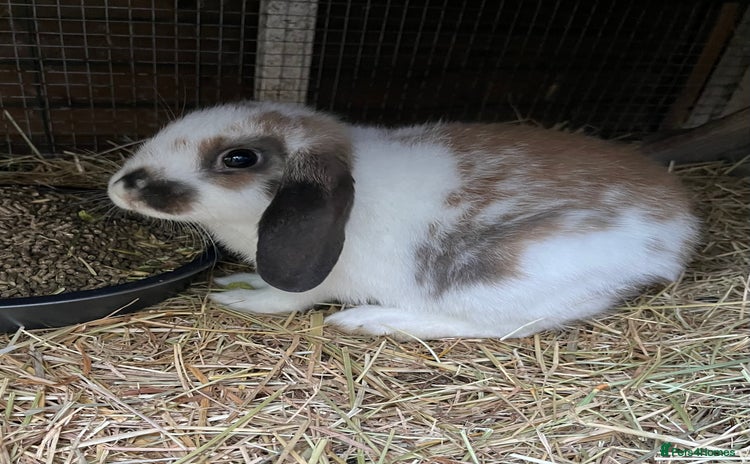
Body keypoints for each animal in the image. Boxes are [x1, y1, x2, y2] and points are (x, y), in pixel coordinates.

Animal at [108, 101, 700, 339]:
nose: (120, 186)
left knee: (494, 327)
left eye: (238, 158)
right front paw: (237, 282)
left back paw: (369, 321)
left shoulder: (313, 283)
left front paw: (242, 301)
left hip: (503, 277)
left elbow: (283, 299)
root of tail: (677, 233)